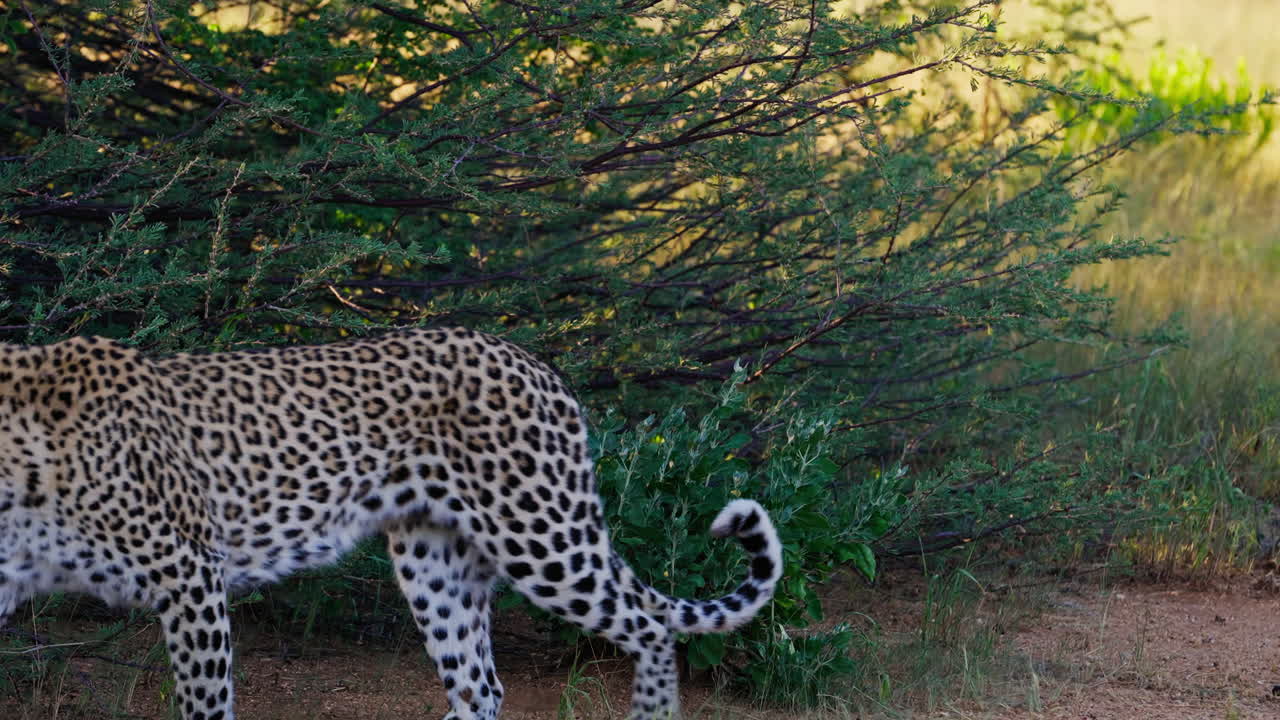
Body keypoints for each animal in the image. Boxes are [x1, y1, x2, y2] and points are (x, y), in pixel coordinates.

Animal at [0, 327, 782, 720]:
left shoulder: (189, 575)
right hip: (438, 562)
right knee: (480, 687)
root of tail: (534, 361)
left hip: (541, 534)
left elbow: (205, 706)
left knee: (649, 628)